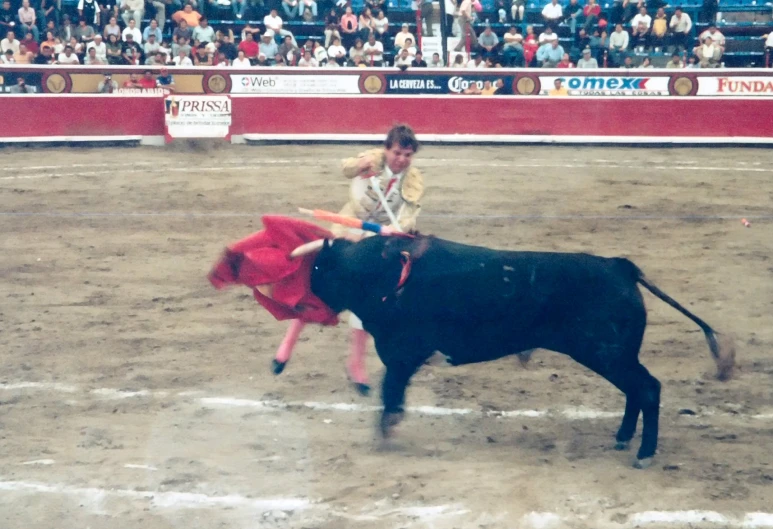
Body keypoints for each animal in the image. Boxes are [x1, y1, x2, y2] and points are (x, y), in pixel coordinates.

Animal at [304, 234, 732, 466]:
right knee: (637, 390)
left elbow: (390, 391)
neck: (382, 272)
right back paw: (623, 438)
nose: (302, 302)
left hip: (606, 352)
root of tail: (620, 266)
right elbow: (391, 391)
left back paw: (643, 453)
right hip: (615, 355)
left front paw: (384, 434)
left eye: (318, 270)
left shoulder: (401, 350)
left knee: (647, 388)